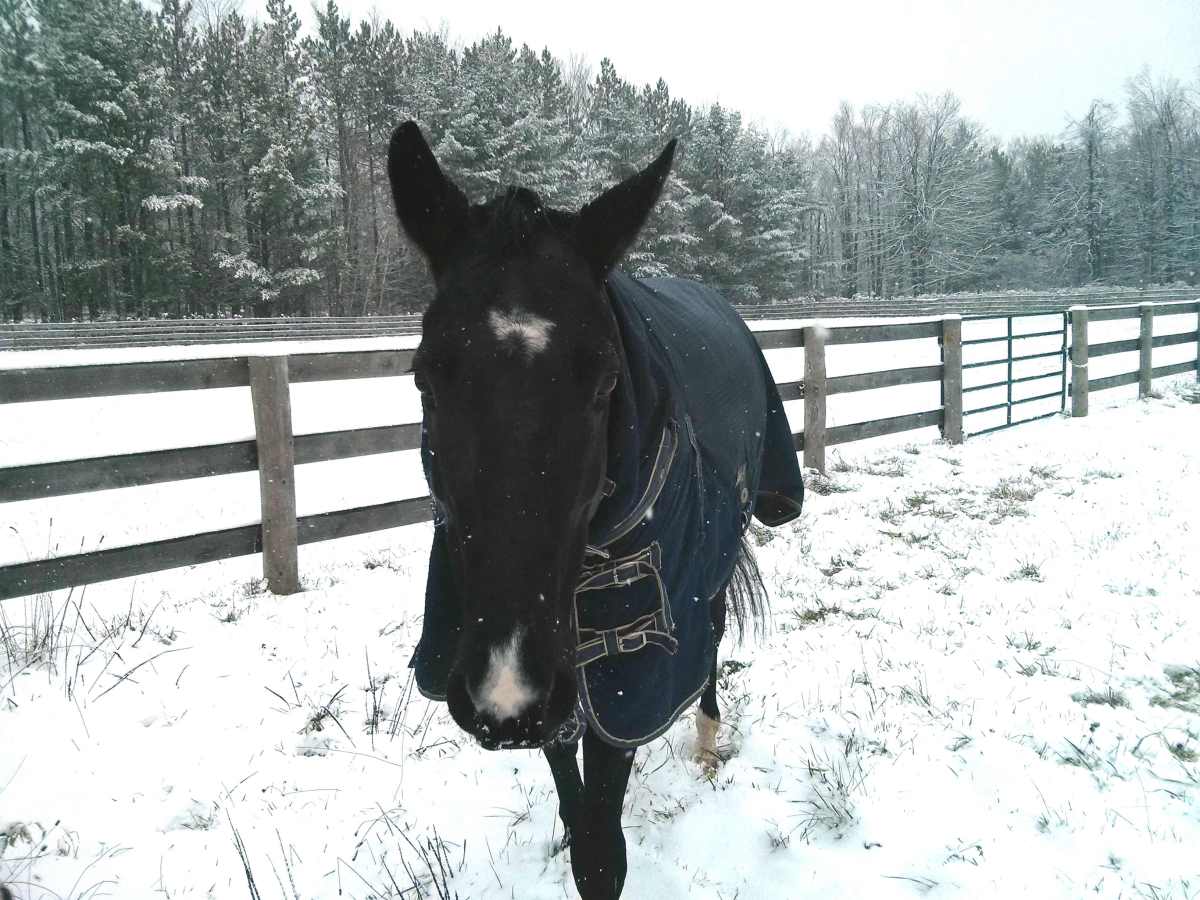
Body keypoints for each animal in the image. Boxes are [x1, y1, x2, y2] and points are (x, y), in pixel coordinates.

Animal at [388, 121, 805, 900]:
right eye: (426, 374)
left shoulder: (624, 668)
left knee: (710, 641)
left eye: (606, 377)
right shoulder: (560, 676)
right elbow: (574, 805)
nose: (503, 696)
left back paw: (708, 742)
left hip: (712, 567)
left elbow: (603, 853)